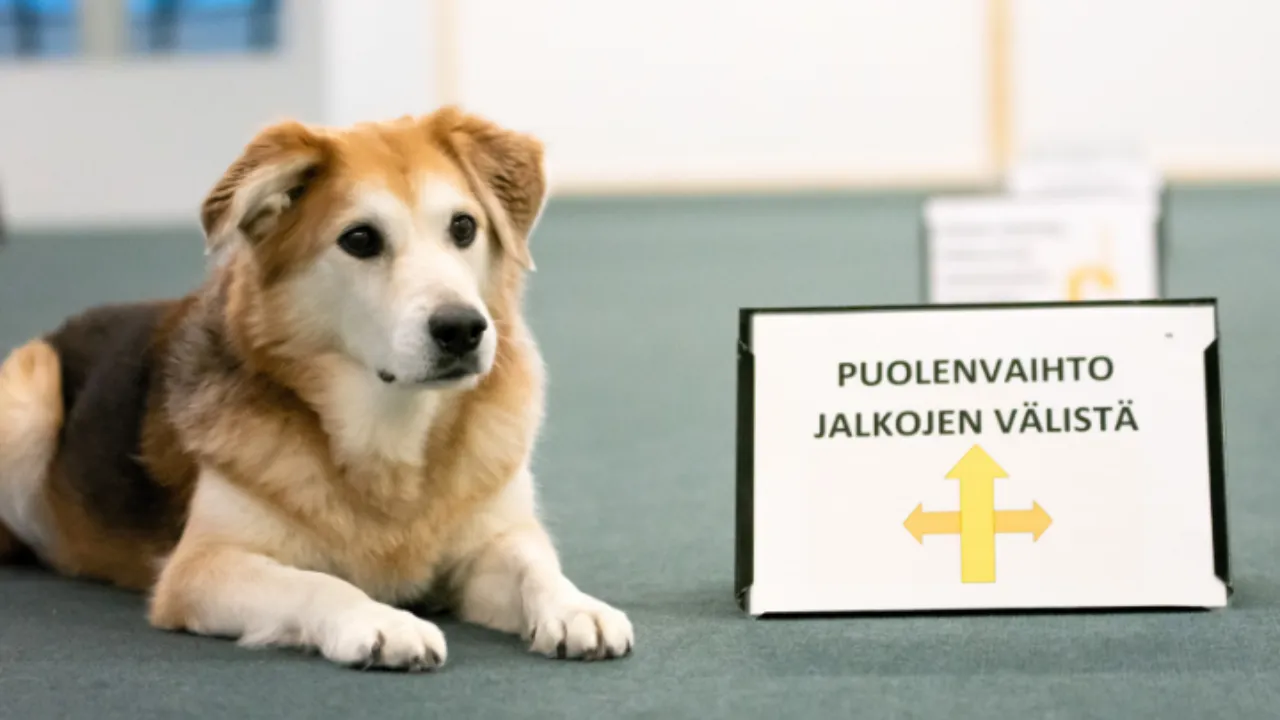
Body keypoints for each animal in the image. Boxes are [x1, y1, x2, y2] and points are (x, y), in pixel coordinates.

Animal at [0, 107, 633, 671]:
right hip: (30, 396)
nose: (462, 329)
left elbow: (534, 564)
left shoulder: (491, 540)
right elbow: (318, 584)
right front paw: (380, 621)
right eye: (360, 239)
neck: (390, 428)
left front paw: (574, 605)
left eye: (463, 227)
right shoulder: (201, 567)